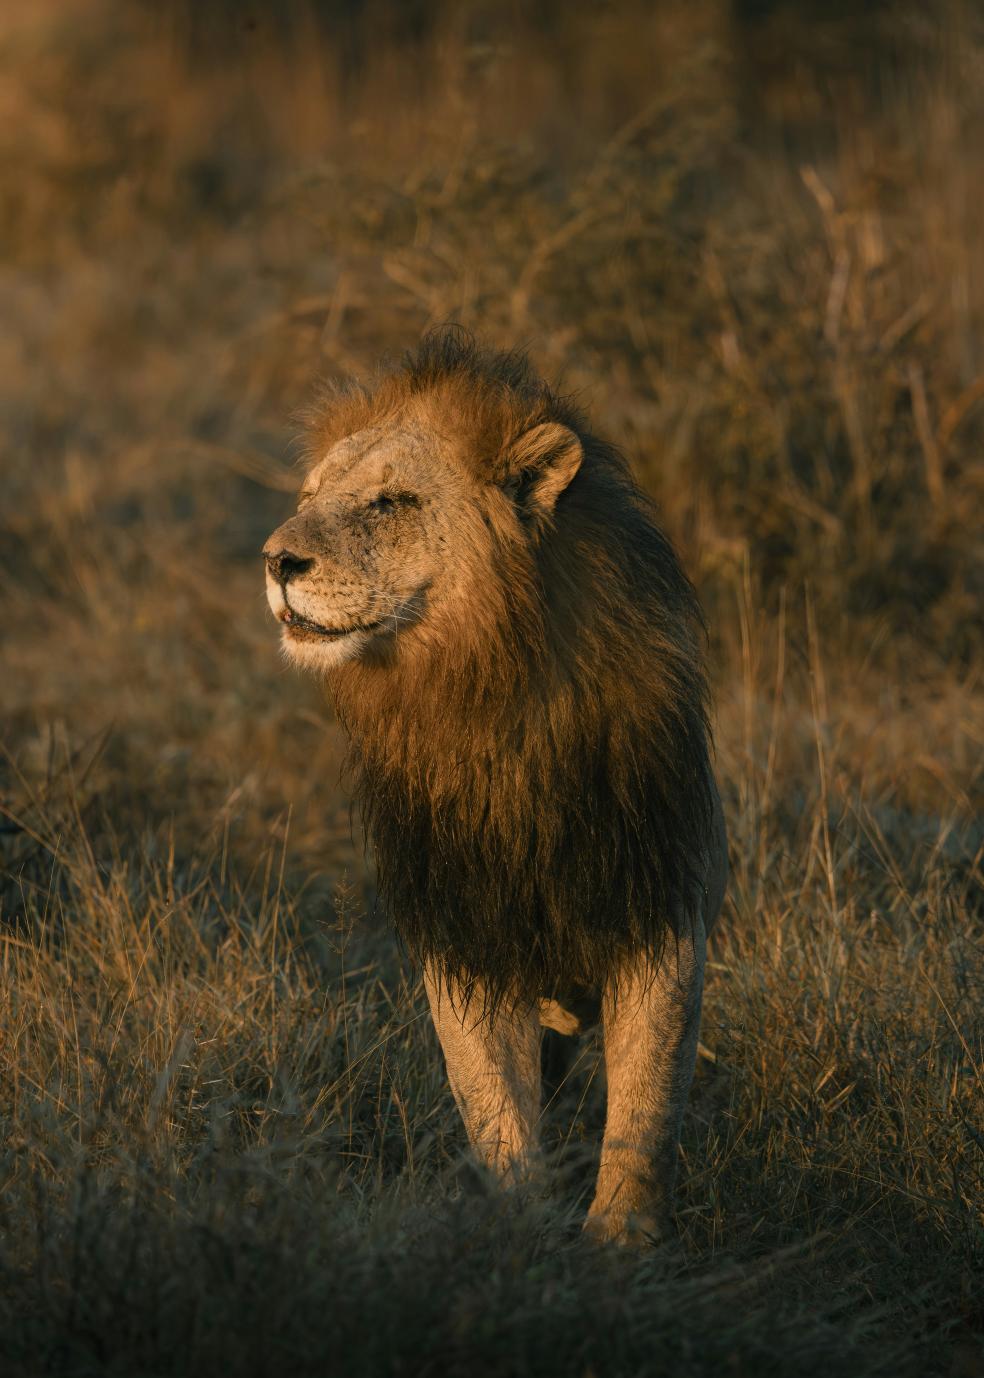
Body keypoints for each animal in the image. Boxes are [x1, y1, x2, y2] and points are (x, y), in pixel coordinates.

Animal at [262, 329, 728, 1245]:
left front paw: (622, 1244)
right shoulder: (465, 937)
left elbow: (646, 1105)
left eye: (391, 502)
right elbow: (495, 1107)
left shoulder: (658, 910)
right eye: (308, 496)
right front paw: (518, 1237)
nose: (275, 560)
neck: (485, 696)